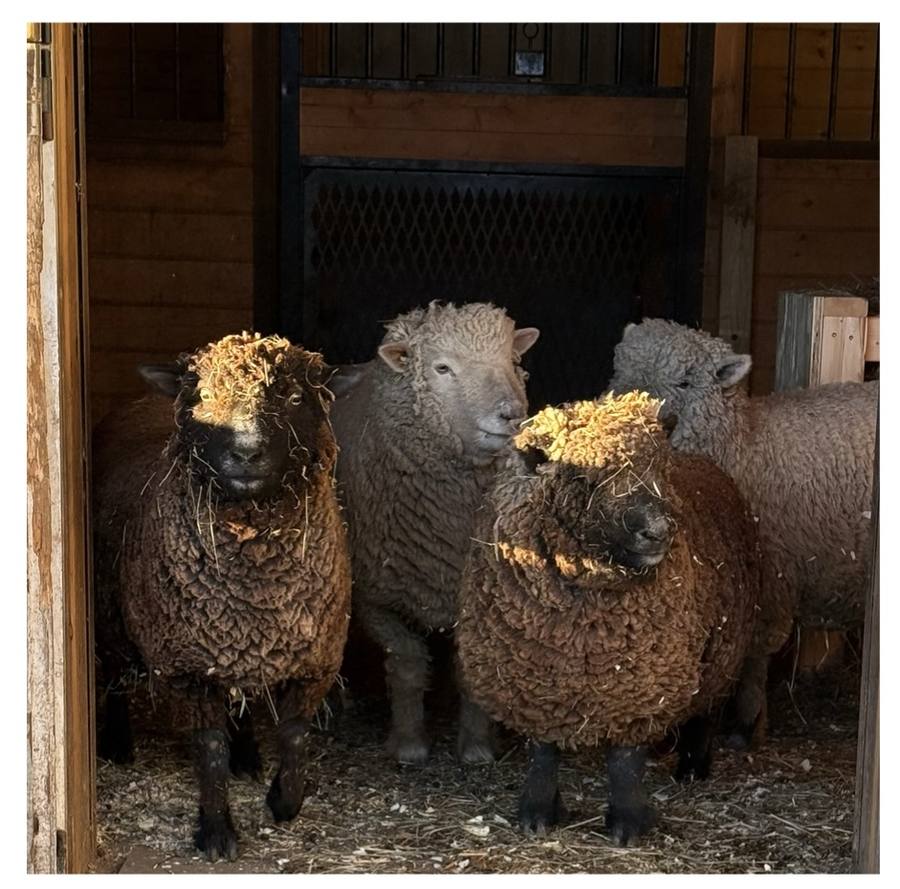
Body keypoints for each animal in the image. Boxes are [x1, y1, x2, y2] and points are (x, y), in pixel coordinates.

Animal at [93, 332, 352, 861]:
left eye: (297, 397)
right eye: (204, 397)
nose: (246, 453)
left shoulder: (316, 659)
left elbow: (295, 737)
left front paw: (283, 800)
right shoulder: (187, 667)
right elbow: (209, 750)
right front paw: (215, 832)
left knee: (243, 698)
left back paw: (248, 755)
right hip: (112, 615)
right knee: (115, 677)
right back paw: (118, 743)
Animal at [329, 301, 540, 765]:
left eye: (512, 361)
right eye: (442, 368)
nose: (510, 413)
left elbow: (471, 670)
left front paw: (477, 746)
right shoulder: (376, 595)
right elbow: (407, 663)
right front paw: (409, 744)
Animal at [456, 393, 761, 844]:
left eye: (659, 468)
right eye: (585, 479)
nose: (658, 531)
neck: (583, 630)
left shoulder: (642, 680)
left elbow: (625, 760)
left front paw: (628, 824)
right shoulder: (532, 682)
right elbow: (542, 754)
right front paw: (537, 813)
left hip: (723, 649)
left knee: (707, 710)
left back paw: (692, 766)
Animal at [608, 318, 877, 744]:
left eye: (685, 381)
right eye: (620, 369)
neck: (745, 447)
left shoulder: (768, 581)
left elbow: (754, 653)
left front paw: (747, 721)